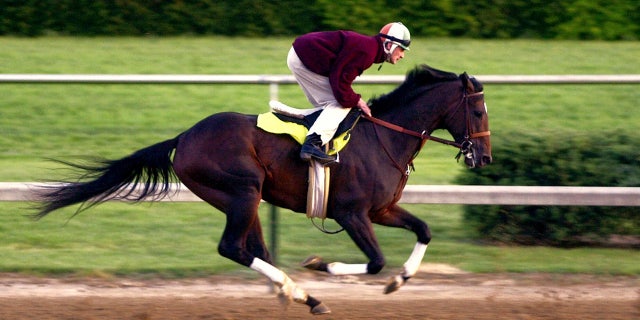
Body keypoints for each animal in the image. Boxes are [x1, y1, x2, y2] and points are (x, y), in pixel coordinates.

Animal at [33, 65, 490, 316]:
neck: (385, 137)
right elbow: (375, 261)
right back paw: (301, 290)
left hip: (243, 198)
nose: (483, 157)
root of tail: (185, 136)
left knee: (254, 249)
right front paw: (320, 264)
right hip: (242, 190)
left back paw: (301, 294)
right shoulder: (351, 213)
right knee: (234, 248)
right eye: (479, 109)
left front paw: (401, 280)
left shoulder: (381, 210)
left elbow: (424, 230)